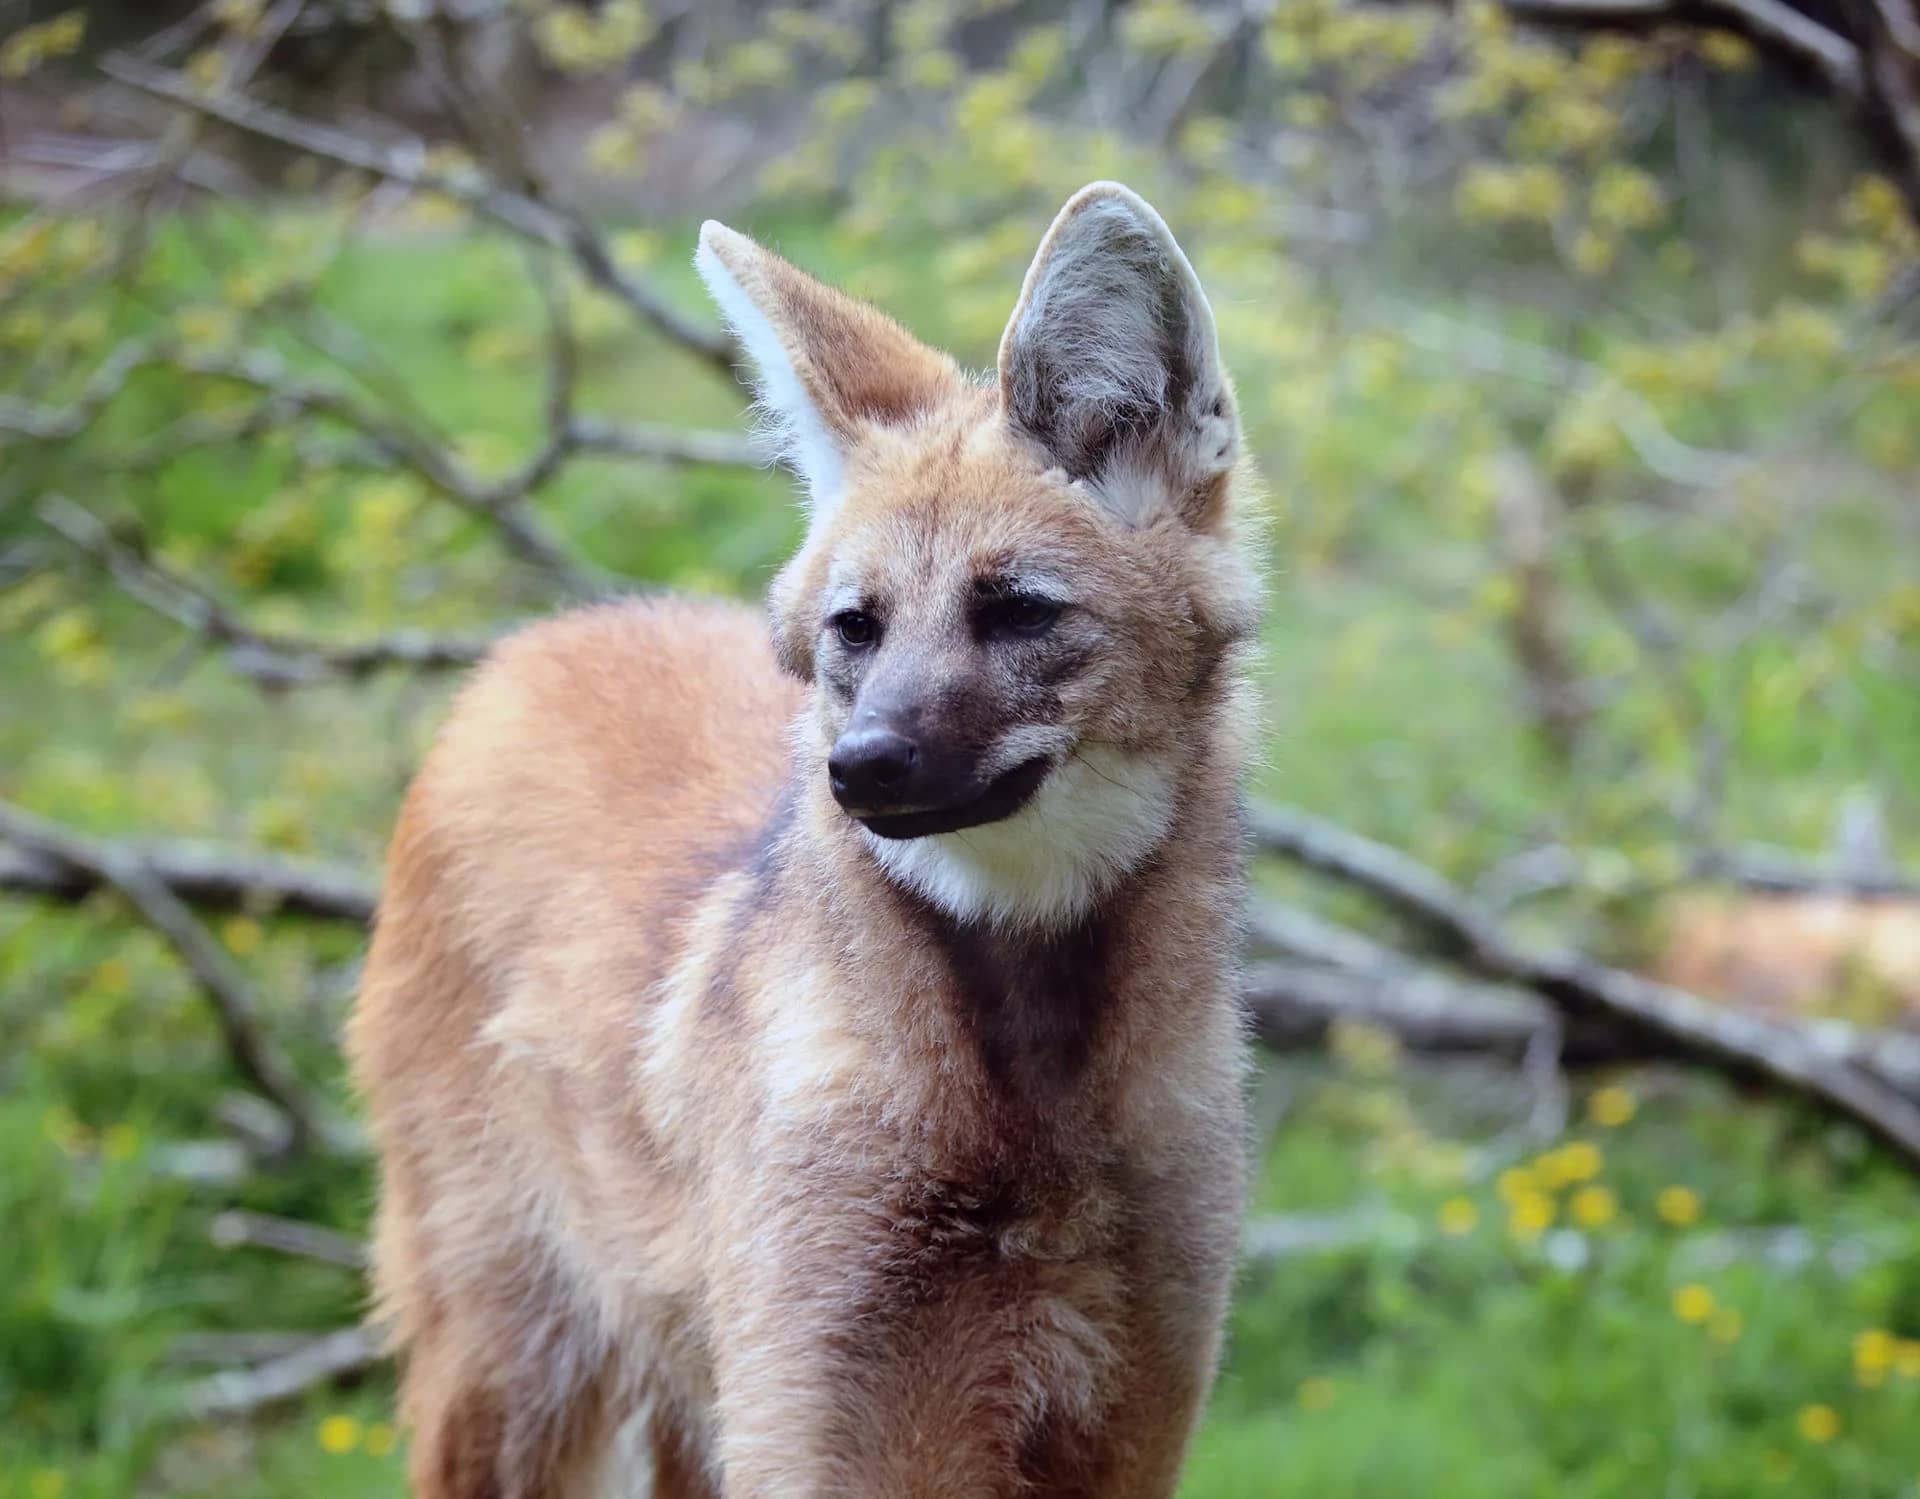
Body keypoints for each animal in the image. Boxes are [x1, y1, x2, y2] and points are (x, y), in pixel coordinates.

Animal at [348, 180, 1263, 1497]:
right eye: (856, 627)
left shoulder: (1128, 1411)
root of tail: (541, 635)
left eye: (1019, 611)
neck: (1032, 1110)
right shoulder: (828, 1406)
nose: (861, 764)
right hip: (519, 1357)